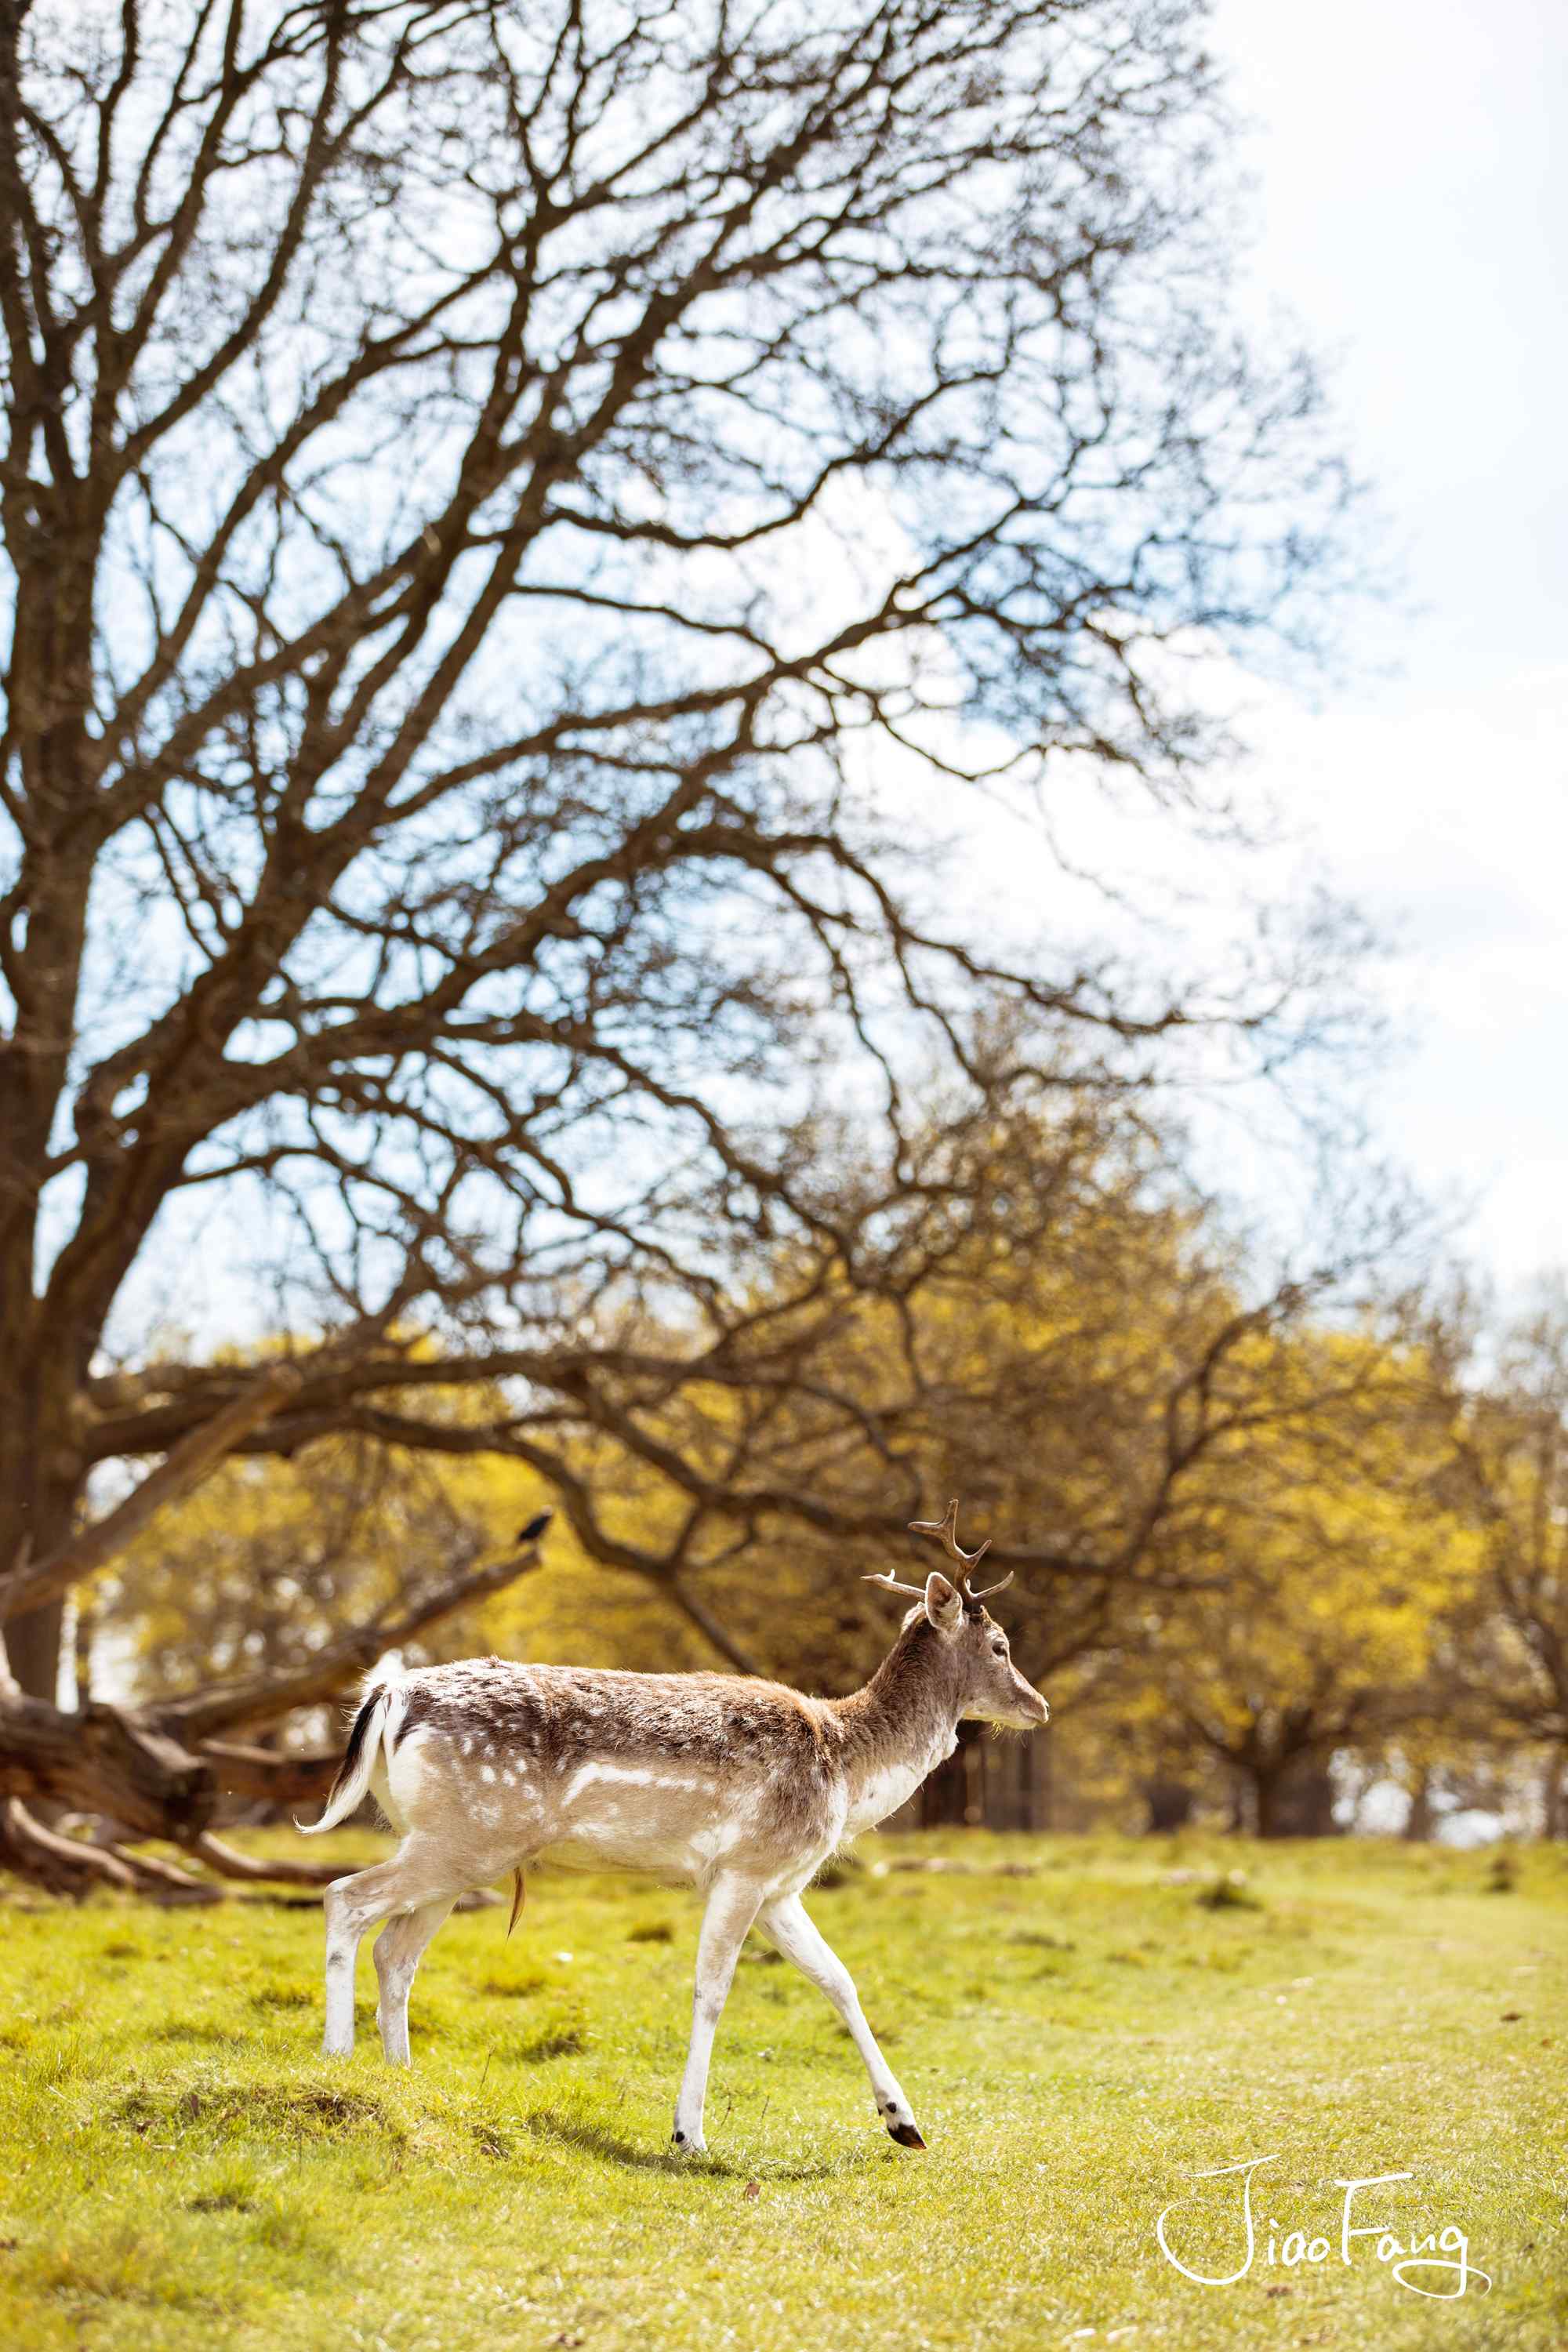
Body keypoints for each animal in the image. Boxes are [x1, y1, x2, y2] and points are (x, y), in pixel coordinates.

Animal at [300, 1505, 1048, 2154]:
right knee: (345, 1897)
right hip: (466, 1838)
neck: (845, 1770)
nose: (1038, 1705)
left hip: (455, 1849)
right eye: (1000, 1645)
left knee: (396, 1951)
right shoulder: (743, 1867)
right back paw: (336, 2057)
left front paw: (905, 2124)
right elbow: (712, 1991)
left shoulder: (781, 1885)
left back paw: (401, 2076)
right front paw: (689, 2134)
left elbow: (839, 1979)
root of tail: (388, 1694)